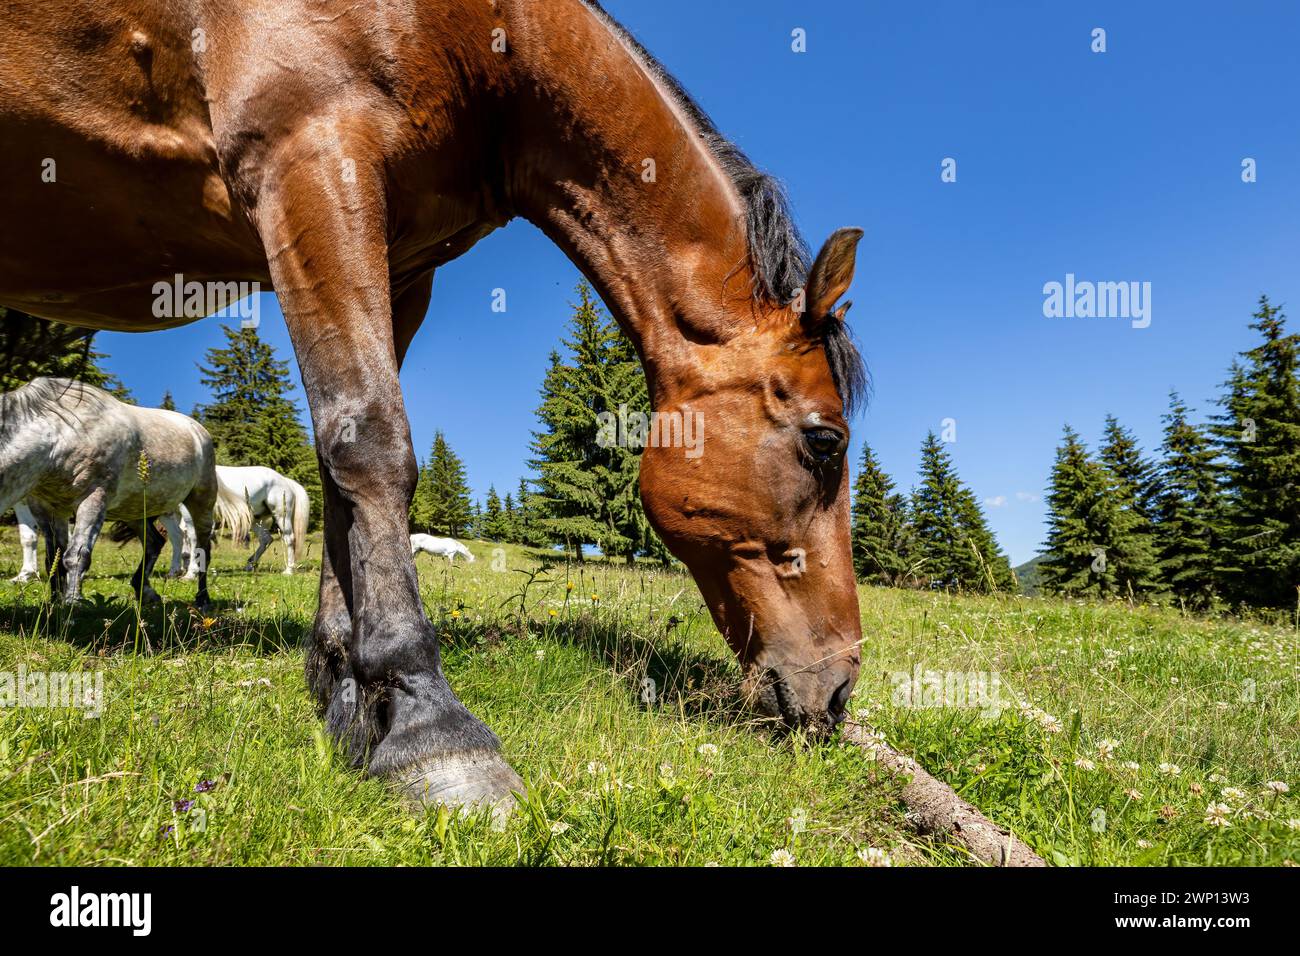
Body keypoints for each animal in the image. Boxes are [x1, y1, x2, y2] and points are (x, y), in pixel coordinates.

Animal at [0, 379, 252, 606]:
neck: (61, 434)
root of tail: (198, 430)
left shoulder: (94, 500)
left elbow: (76, 556)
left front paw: (71, 604)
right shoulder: (47, 508)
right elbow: (53, 557)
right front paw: (53, 603)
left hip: (201, 502)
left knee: (203, 547)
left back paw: (202, 599)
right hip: (133, 510)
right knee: (154, 542)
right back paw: (145, 592)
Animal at [176, 465, 310, 575]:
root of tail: (285, 481)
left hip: (281, 516)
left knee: (289, 538)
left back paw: (288, 570)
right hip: (255, 520)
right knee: (266, 539)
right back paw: (249, 565)